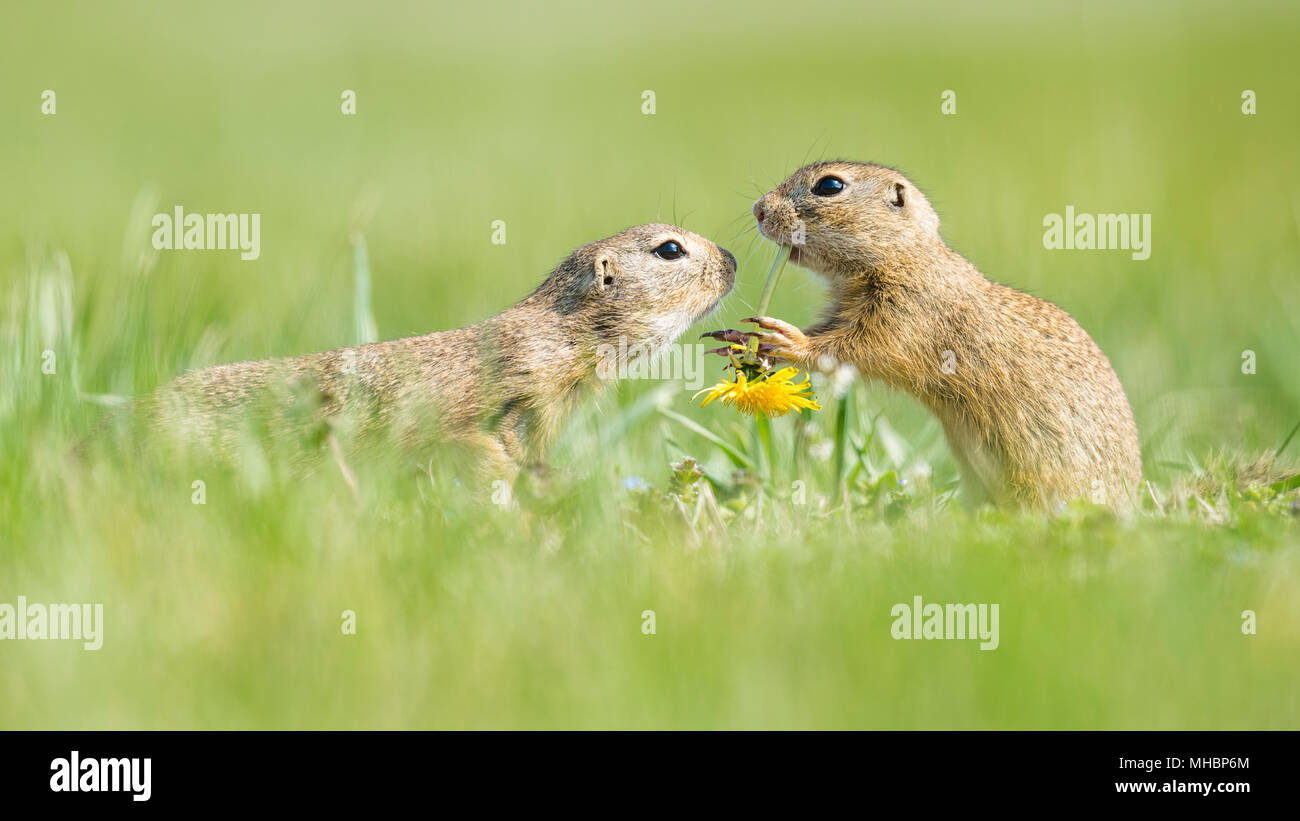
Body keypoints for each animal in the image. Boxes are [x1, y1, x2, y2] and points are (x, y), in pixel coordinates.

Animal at [707, 163, 1144, 509]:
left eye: (830, 185)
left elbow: (857, 347)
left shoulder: (907, 311)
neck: (904, 255)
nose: (759, 209)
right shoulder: (842, 310)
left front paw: (789, 340)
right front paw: (743, 341)